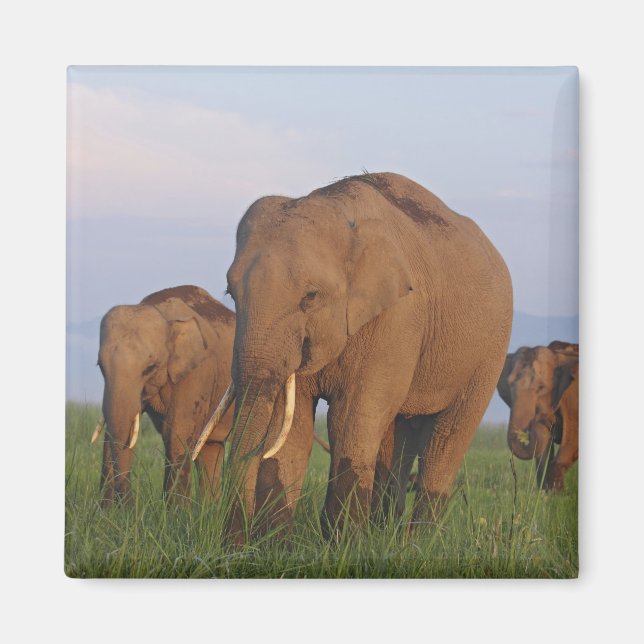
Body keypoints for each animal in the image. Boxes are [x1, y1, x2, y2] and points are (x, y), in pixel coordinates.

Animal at [95, 285, 236, 505]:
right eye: (100, 366)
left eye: (150, 368)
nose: (128, 507)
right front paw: (106, 512)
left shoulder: (197, 372)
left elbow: (176, 434)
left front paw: (175, 513)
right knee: (211, 448)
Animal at [193, 172, 513, 542]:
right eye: (231, 293)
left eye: (310, 296)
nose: (233, 544)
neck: (338, 206)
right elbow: (292, 426)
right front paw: (277, 547)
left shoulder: (397, 317)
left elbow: (350, 419)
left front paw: (340, 544)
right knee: (396, 437)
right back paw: (384, 537)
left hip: (490, 350)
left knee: (446, 440)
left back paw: (416, 544)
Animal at [496, 341, 579, 490]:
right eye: (509, 385)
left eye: (541, 387)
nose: (534, 422)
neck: (557, 356)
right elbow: (543, 448)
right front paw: (546, 493)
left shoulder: (572, 402)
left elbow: (571, 439)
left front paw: (556, 494)